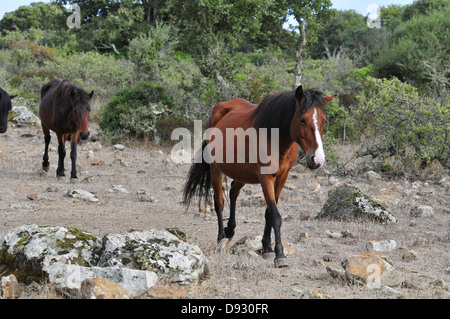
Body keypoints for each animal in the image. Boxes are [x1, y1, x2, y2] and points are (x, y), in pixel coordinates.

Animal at [183, 85, 334, 268]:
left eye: (323, 120)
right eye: (302, 120)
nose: (317, 160)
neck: (275, 139)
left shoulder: (282, 178)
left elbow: (269, 213)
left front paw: (267, 248)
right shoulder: (265, 178)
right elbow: (275, 215)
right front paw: (279, 255)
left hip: (241, 173)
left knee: (233, 191)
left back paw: (230, 229)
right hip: (215, 169)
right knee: (219, 202)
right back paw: (221, 238)